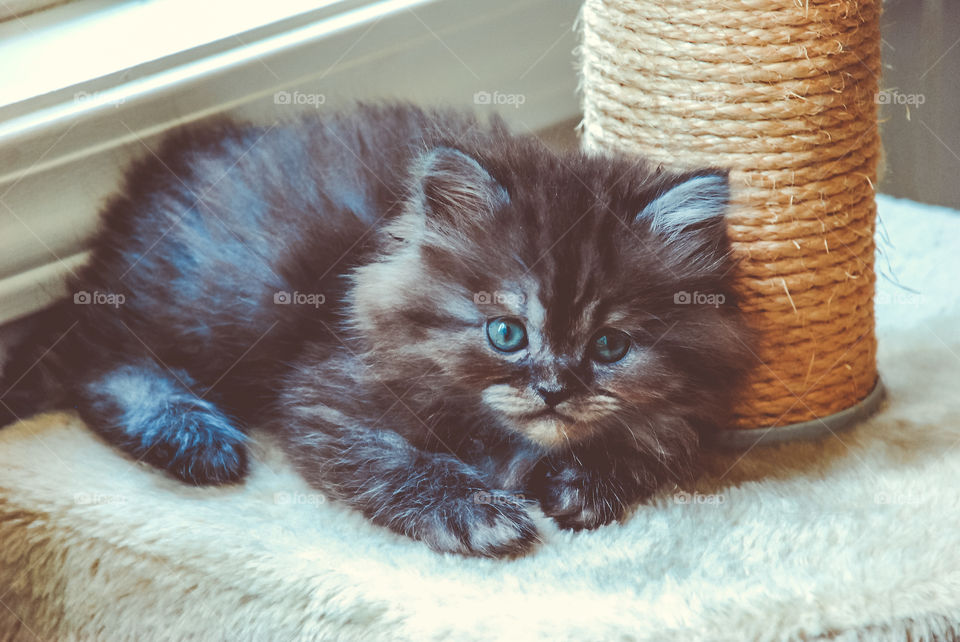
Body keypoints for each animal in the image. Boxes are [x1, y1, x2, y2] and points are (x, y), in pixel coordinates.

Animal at [0, 102, 752, 552]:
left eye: (609, 346)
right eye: (506, 334)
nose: (554, 390)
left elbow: (662, 434)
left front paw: (590, 478)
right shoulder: (324, 391)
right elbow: (397, 459)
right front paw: (476, 511)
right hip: (219, 296)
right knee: (96, 363)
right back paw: (193, 435)